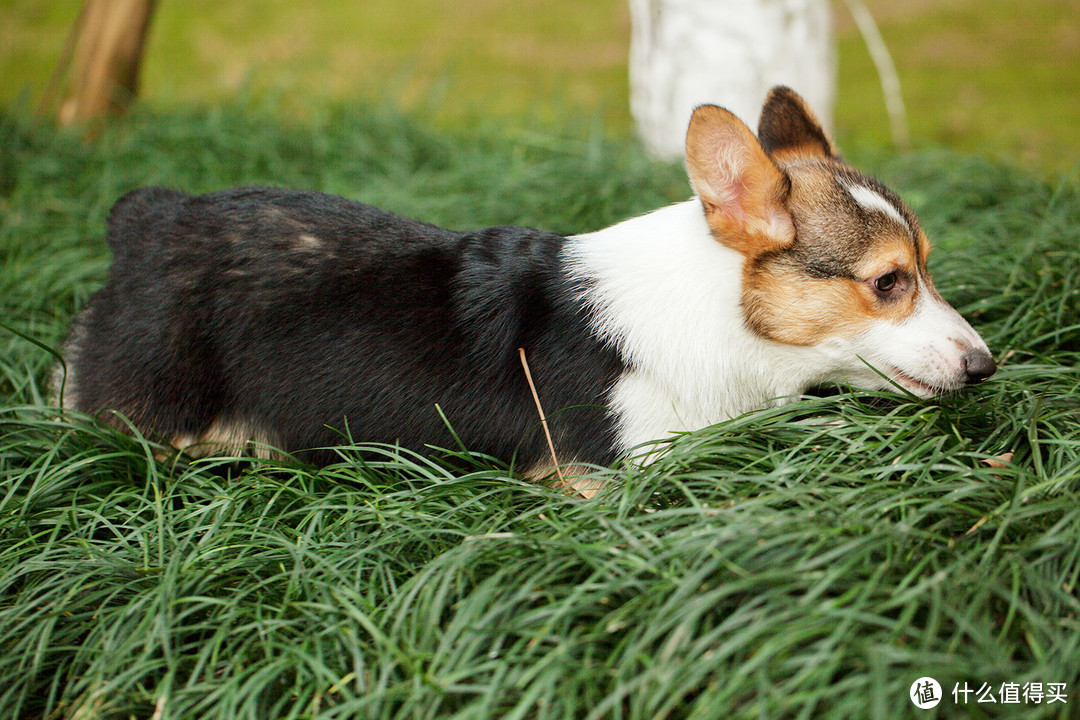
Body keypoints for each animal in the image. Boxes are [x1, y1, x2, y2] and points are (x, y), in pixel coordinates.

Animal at [54, 87, 989, 481]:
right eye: (888, 282)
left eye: (926, 264)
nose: (987, 367)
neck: (719, 317)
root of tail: (145, 218)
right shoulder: (606, 475)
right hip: (164, 418)